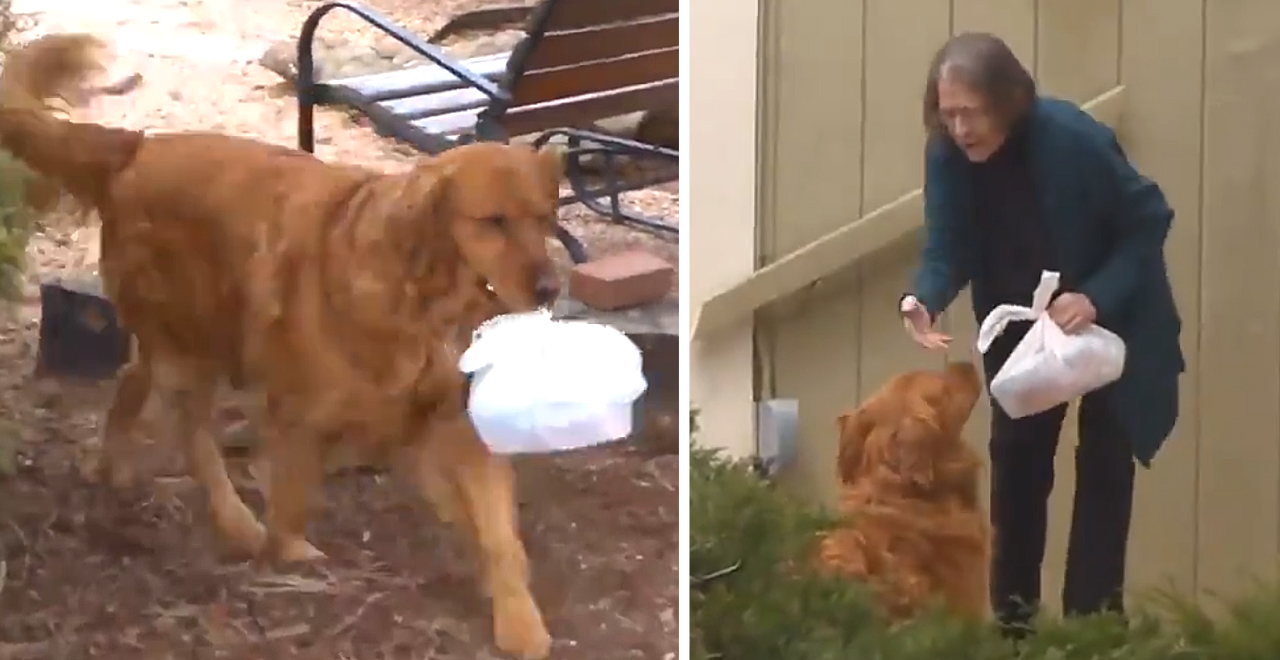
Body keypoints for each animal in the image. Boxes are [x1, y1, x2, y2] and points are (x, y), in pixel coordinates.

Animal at [0, 32, 560, 660]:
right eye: (493, 222)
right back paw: (237, 522)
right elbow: (294, 497)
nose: (550, 288)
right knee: (193, 437)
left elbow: (499, 534)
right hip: (200, 344)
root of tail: (138, 146)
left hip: (183, 337)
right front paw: (288, 555)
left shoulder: (456, 421)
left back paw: (113, 469)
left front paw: (519, 618)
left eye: (545, 217)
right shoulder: (299, 412)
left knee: (132, 383)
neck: (420, 300)